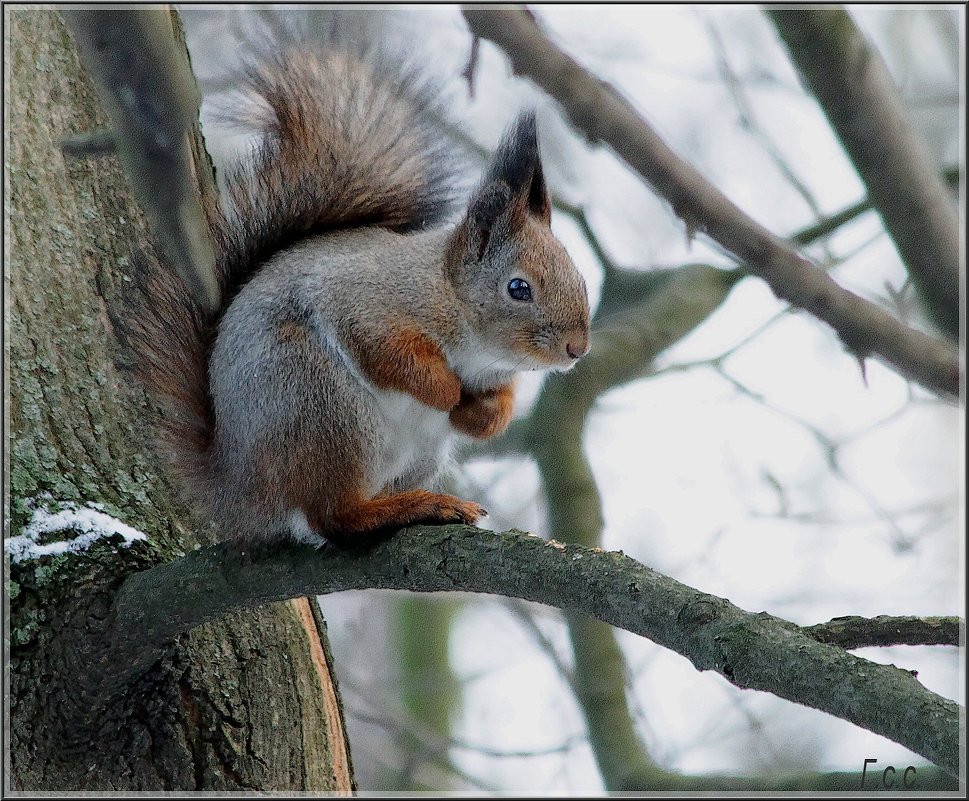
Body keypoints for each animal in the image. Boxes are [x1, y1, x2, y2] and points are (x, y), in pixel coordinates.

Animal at [117, 26, 592, 552]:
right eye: (518, 288)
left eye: (578, 275)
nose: (577, 348)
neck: (453, 302)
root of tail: (238, 487)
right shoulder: (367, 304)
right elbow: (387, 353)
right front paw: (445, 389)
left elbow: (497, 403)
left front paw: (483, 416)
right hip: (320, 403)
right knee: (333, 516)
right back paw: (407, 507)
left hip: (414, 450)